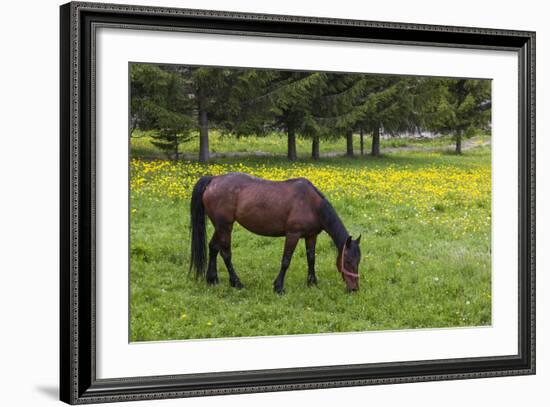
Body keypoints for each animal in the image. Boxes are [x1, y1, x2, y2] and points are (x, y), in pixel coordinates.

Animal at [190, 172, 362, 294]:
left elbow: (311, 259)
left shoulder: (311, 236)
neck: (311, 204)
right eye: (347, 261)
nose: (354, 289)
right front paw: (278, 287)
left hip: (220, 226)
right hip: (225, 226)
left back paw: (212, 279)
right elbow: (286, 261)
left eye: (358, 261)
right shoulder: (293, 234)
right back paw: (237, 283)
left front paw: (312, 282)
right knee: (225, 254)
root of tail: (213, 179)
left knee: (213, 247)